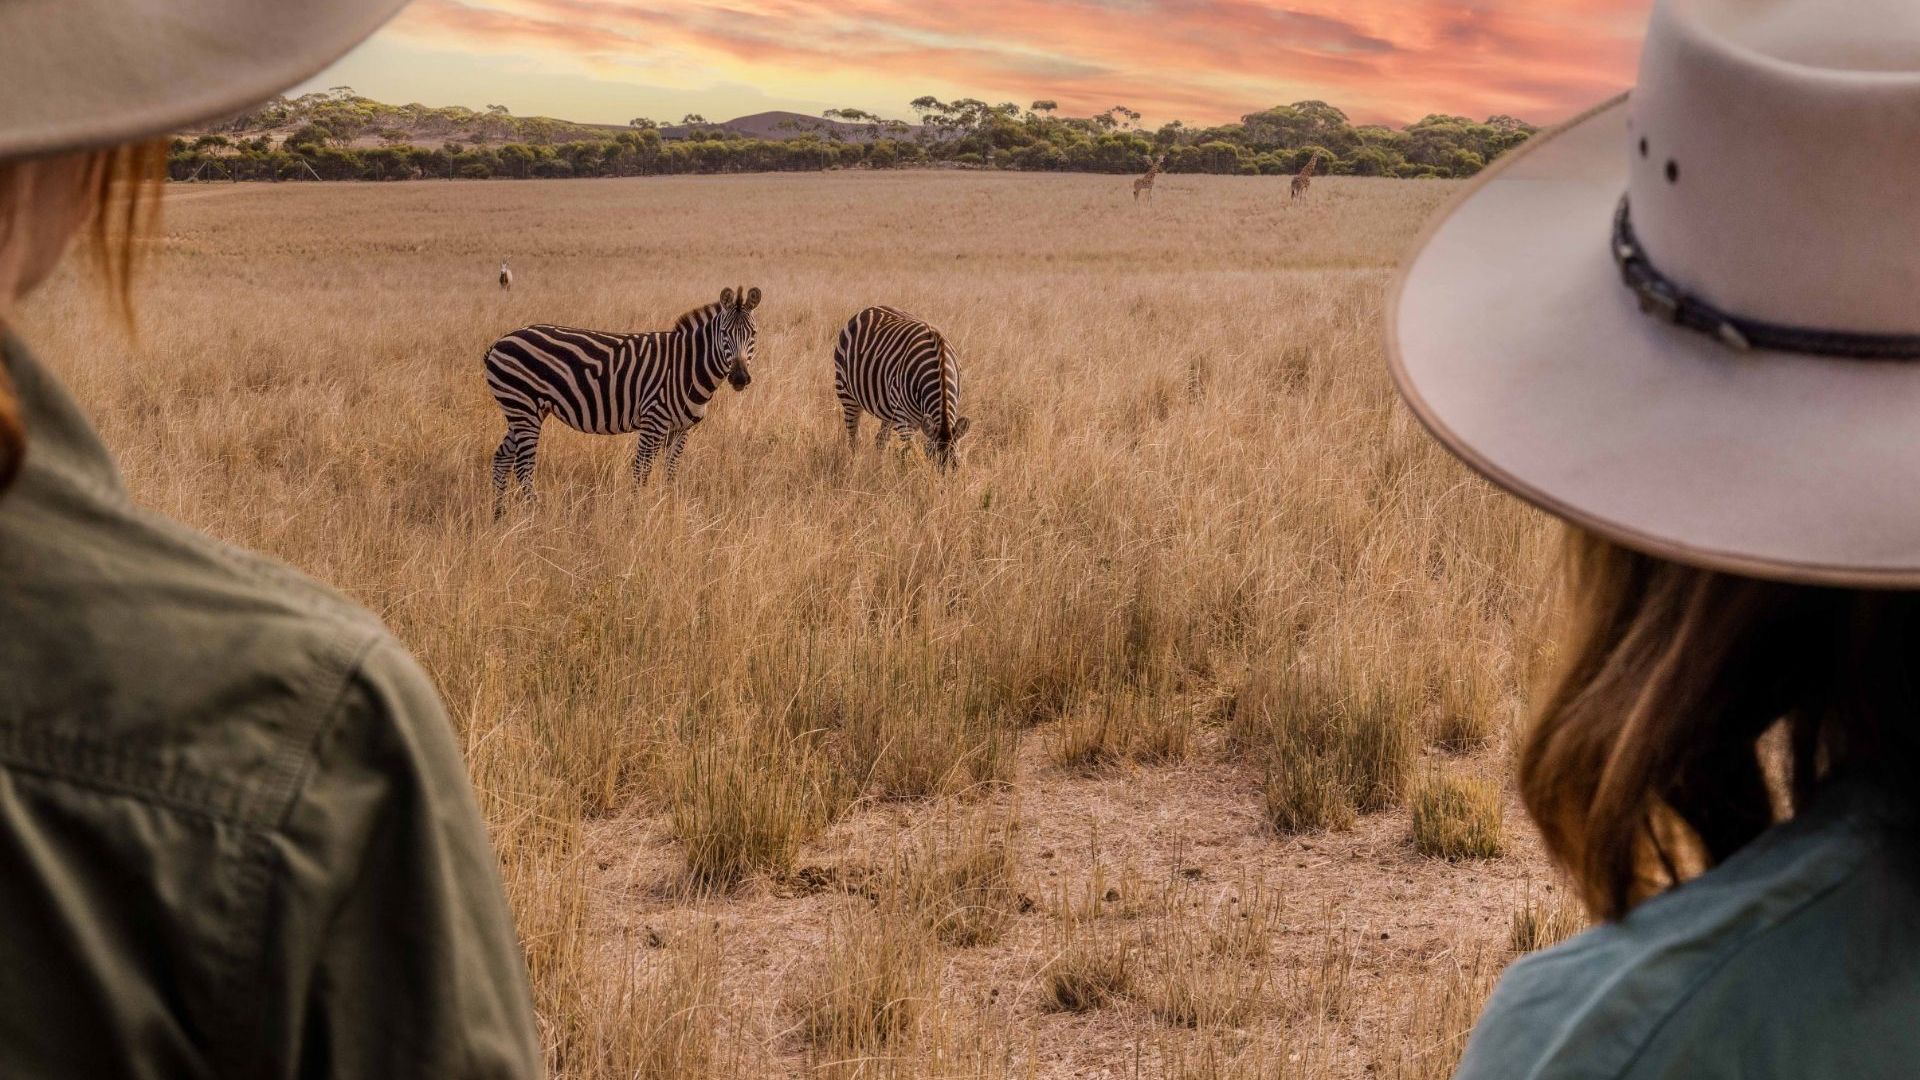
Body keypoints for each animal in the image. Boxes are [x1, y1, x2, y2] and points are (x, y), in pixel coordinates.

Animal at [484, 286, 761, 514]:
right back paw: (535, 516)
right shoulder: (654, 421)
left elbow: (671, 471)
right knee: (523, 467)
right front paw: (635, 513)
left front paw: (668, 505)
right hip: (524, 408)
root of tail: (499, 342)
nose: (739, 378)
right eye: (724, 333)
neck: (687, 365)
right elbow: (641, 470)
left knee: (501, 459)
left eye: (753, 334)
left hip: (523, 412)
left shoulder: (681, 429)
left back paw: (499, 514)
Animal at [834, 306, 971, 470]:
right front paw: (907, 475)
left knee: (880, 440)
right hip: (848, 395)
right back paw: (854, 466)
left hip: (887, 408)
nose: (940, 478)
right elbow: (907, 453)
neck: (940, 366)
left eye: (957, 465)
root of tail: (869, 309)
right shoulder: (904, 419)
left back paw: (879, 469)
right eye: (931, 459)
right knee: (854, 437)